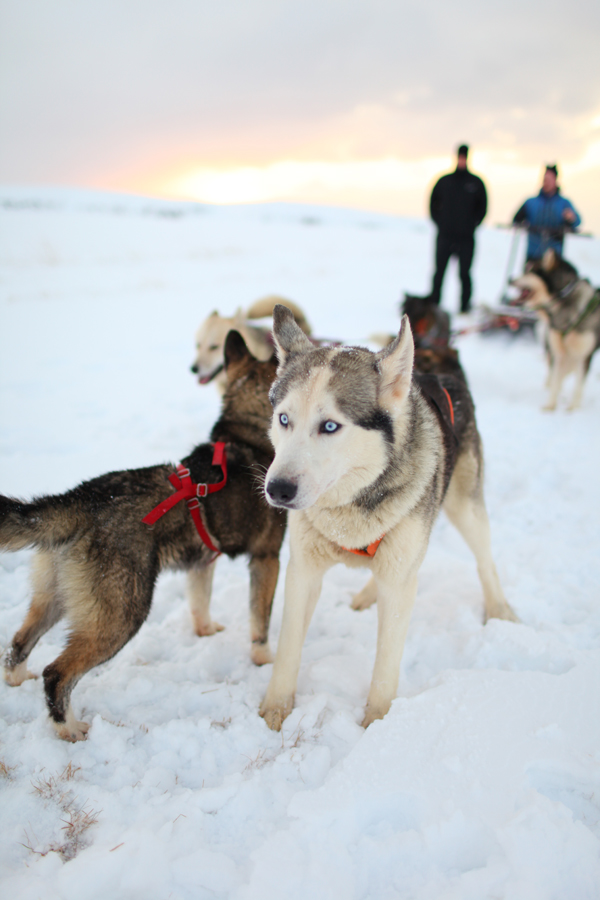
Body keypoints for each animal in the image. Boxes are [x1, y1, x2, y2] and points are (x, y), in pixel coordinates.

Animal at [260, 302, 516, 732]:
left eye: (330, 425)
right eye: (283, 419)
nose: (277, 489)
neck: (351, 510)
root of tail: (442, 366)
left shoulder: (400, 582)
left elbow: (385, 665)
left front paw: (377, 722)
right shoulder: (303, 572)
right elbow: (288, 647)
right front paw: (276, 708)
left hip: (465, 509)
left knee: (485, 561)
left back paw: (499, 609)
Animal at [510, 250, 600, 412]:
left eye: (531, 271)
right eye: (525, 269)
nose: (510, 279)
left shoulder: (583, 356)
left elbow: (578, 386)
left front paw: (573, 410)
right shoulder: (559, 354)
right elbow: (556, 381)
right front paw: (550, 407)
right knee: (553, 375)